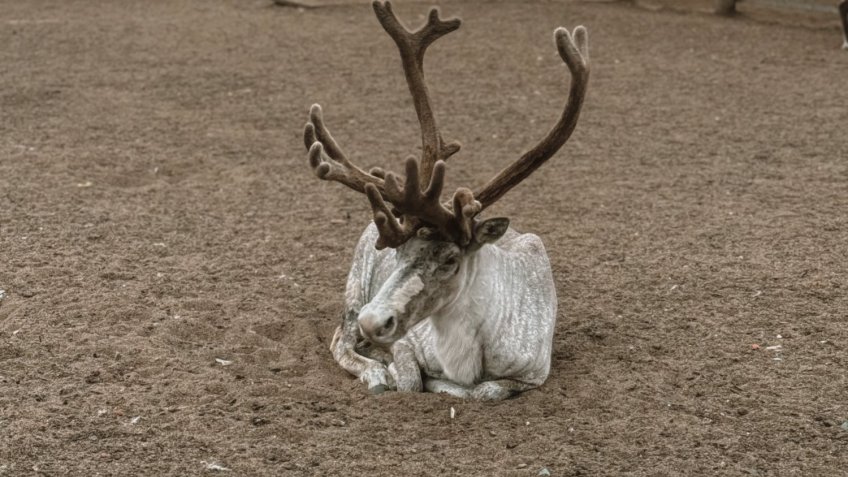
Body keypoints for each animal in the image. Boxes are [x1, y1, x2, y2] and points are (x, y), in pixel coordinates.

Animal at [302, 1, 589, 400]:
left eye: (451, 259)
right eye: (397, 252)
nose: (373, 322)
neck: (467, 359)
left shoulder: (535, 373)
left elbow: (486, 391)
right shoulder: (406, 342)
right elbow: (409, 381)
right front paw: (393, 370)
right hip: (354, 289)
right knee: (339, 339)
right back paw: (374, 371)